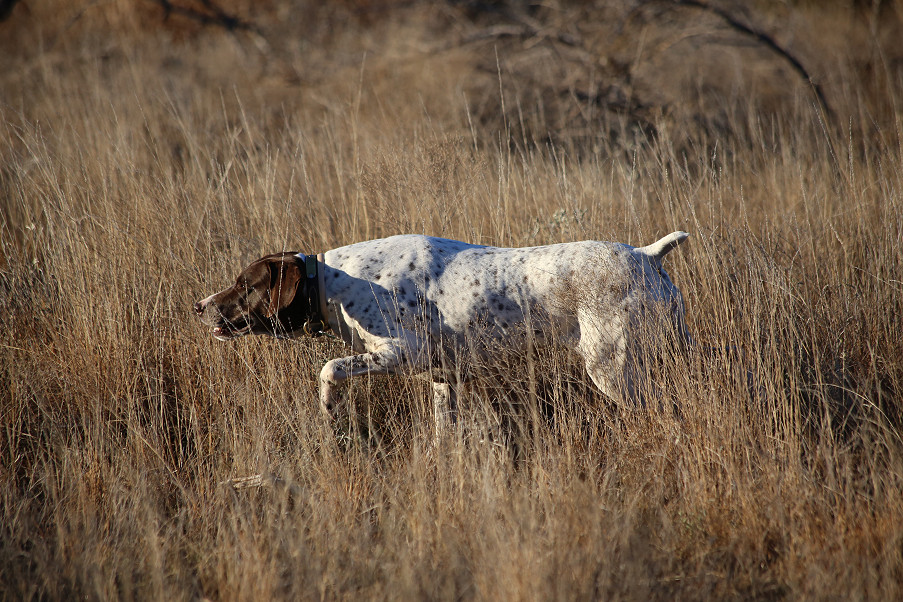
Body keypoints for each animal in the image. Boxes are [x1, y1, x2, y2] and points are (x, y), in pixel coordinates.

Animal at [196, 230, 692, 422]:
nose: (199, 306)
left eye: (245, 285)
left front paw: (328, 408)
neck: (334, 283)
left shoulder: (401, 353)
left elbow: (329, 368)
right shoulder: (443, 380)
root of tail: (647, 254)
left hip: (613, 370)